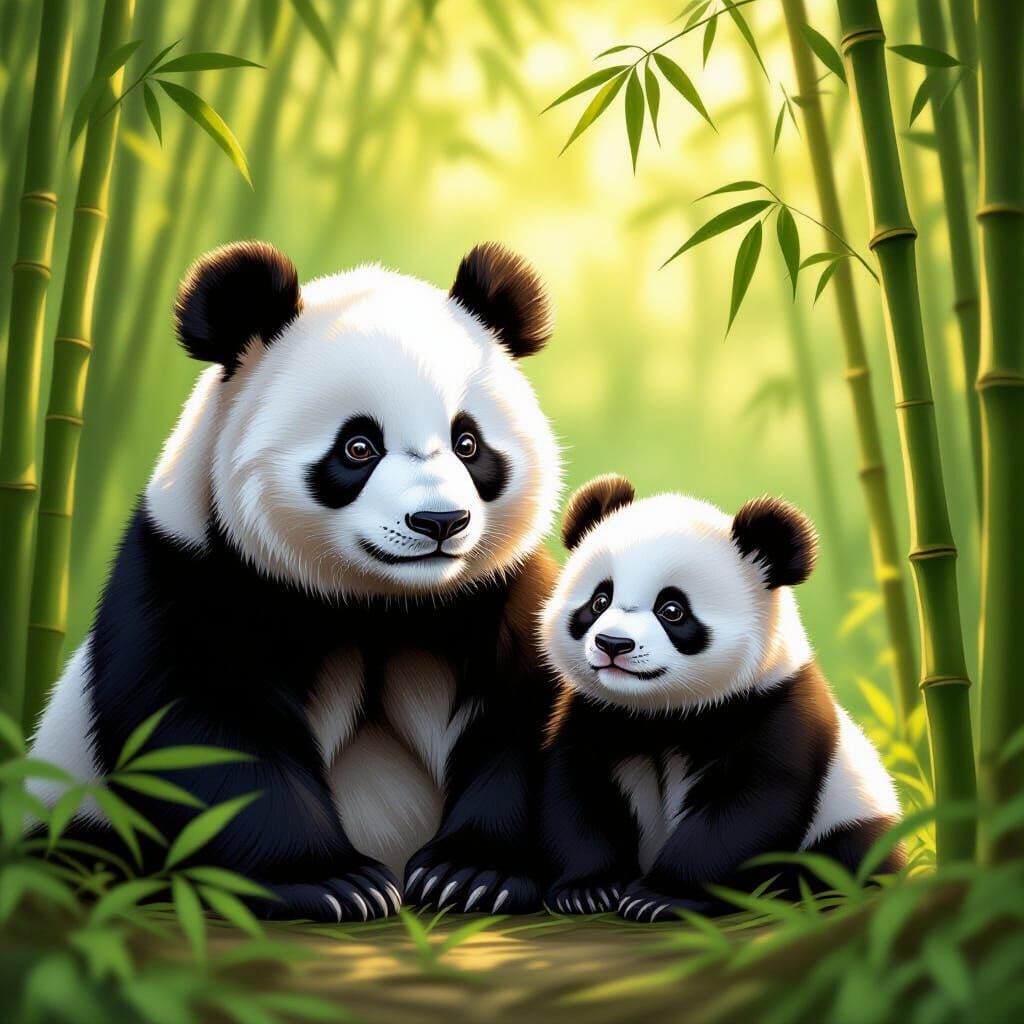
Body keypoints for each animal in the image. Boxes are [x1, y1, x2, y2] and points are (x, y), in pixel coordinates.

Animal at [28, 240, 563, 922]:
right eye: (358, 447)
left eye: (467, 443)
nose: (440, 522)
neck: (379, 601)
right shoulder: (194, 573)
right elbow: (212, 734)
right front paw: (336, 884)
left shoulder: (499, 594)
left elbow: (524, 719)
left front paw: (470, 874)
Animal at [538, 474, 904, 922]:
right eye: (599, 601)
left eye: (672, 609)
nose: (613, 644)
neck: (660, 711)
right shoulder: (596, 712)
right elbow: (578, 793)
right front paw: (587, 889)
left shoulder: (773, 708)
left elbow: (745, 808)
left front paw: (658, 897)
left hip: (855, 812)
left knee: (849, 855)